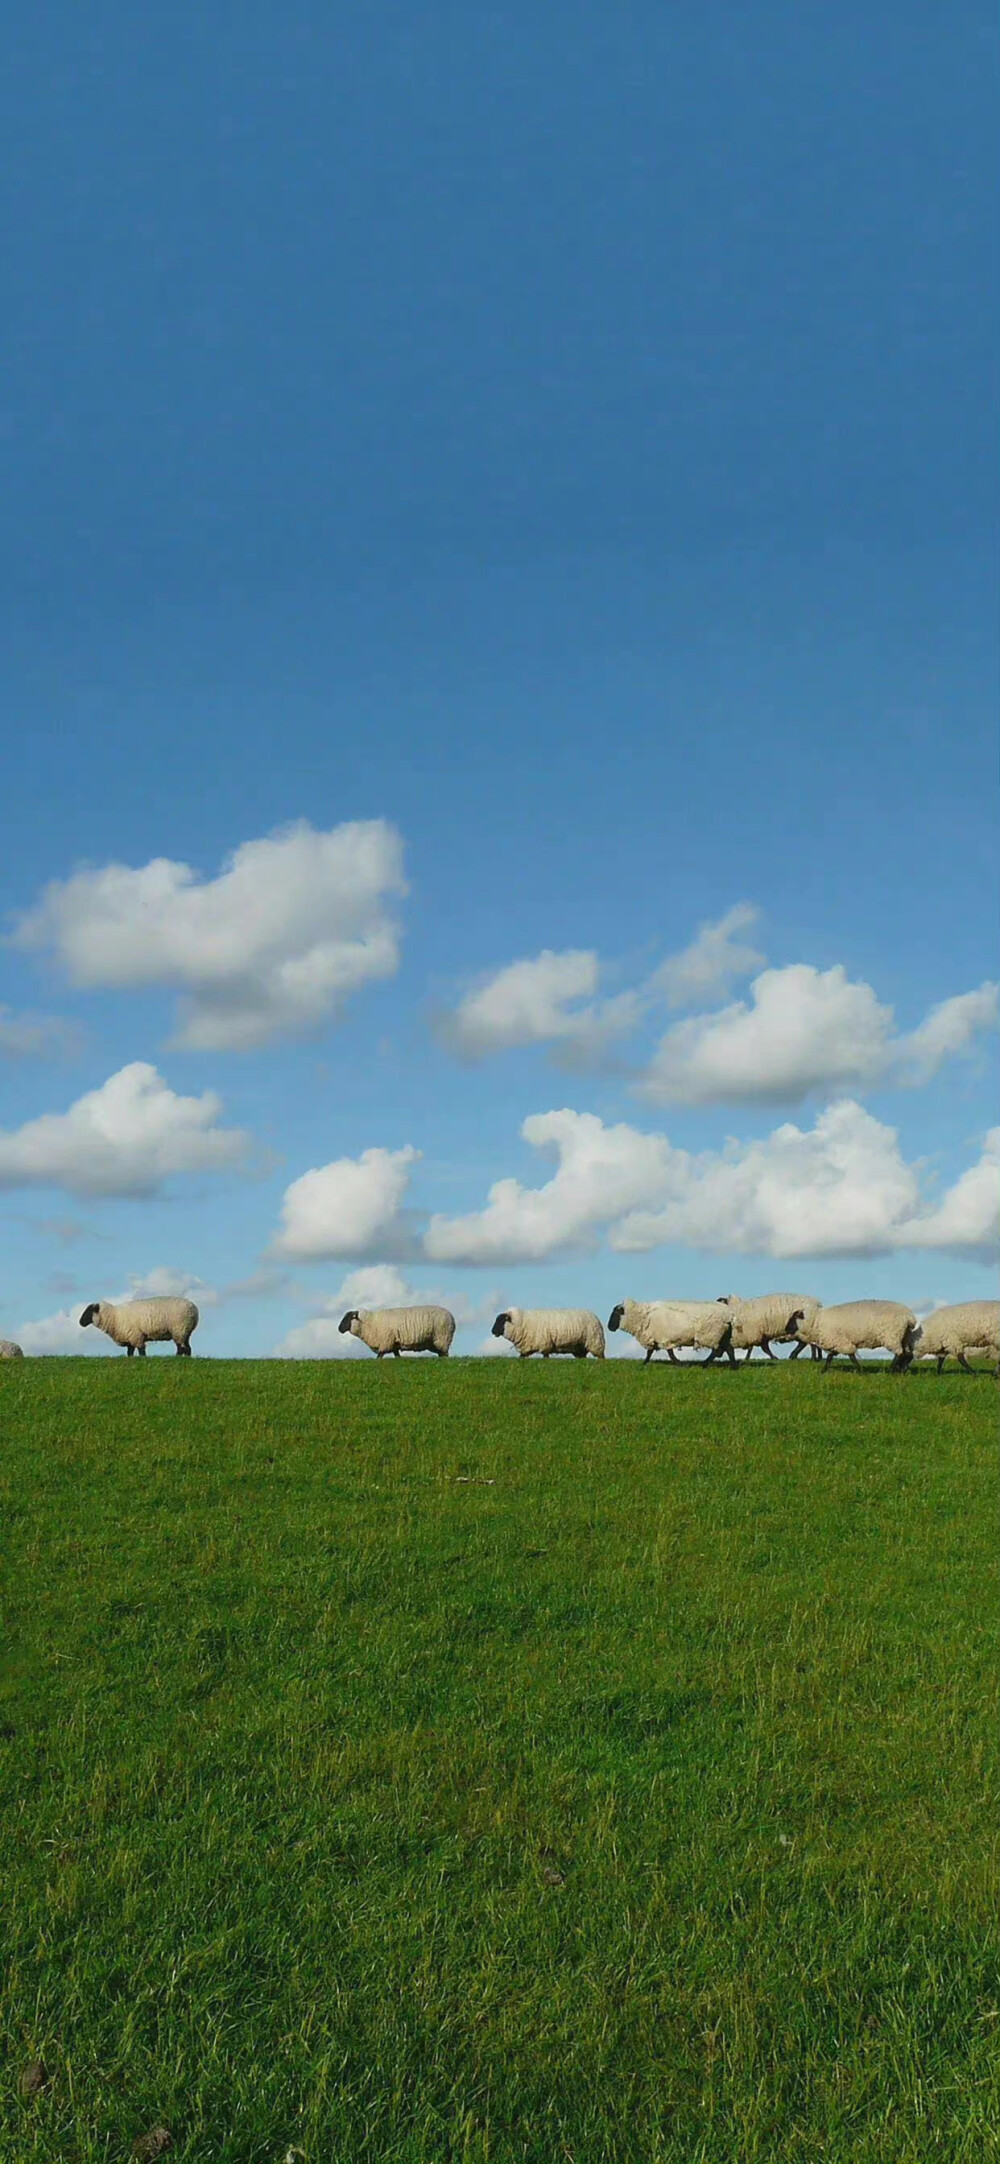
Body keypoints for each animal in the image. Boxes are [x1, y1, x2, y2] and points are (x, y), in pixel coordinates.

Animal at [601, 1289, 735, 1358]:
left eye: (615, 1313)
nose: (609, 1327)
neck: (643, 1316)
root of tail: (728, 1311)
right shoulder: (659, 1337)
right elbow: (652, 1352)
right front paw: (644, 1364)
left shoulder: (663, 1337)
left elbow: (667, 1354)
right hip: (720, 1335)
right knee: (727, 1349)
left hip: (713, 1334)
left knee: (720, 1350)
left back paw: (706, 1365)